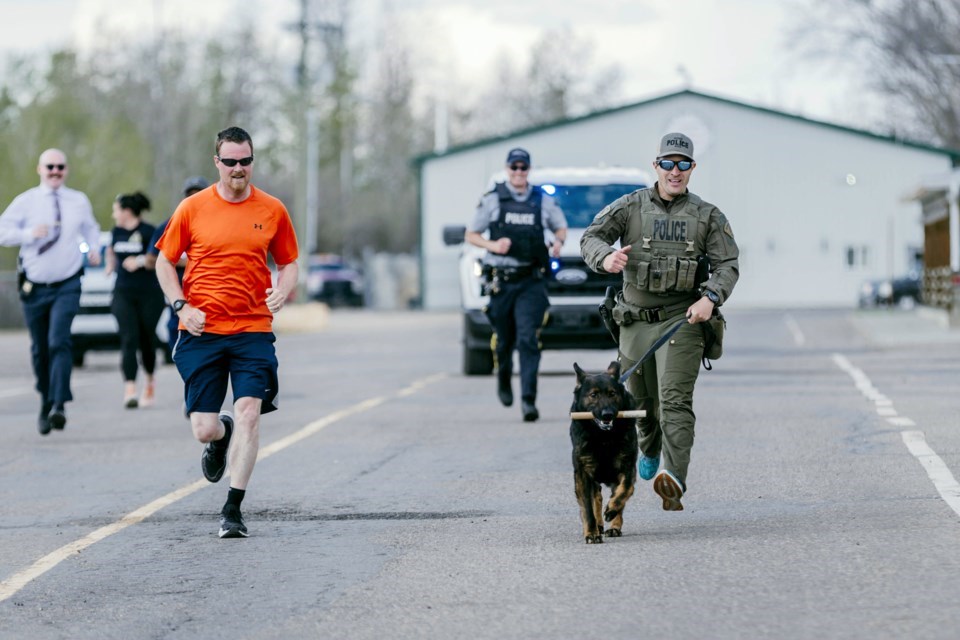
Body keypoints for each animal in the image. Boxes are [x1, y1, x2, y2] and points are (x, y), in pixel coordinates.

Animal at [568, 362, 636, 544]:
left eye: (612, 394)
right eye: (593, 395)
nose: (607, 414)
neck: (604, 437)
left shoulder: (627, 467)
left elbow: (626, 489)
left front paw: (612, 510)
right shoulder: (583, 474)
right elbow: (588, 507)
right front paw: (591, 532)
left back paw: (614, 525)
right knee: (596, 498)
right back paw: (598, 526)